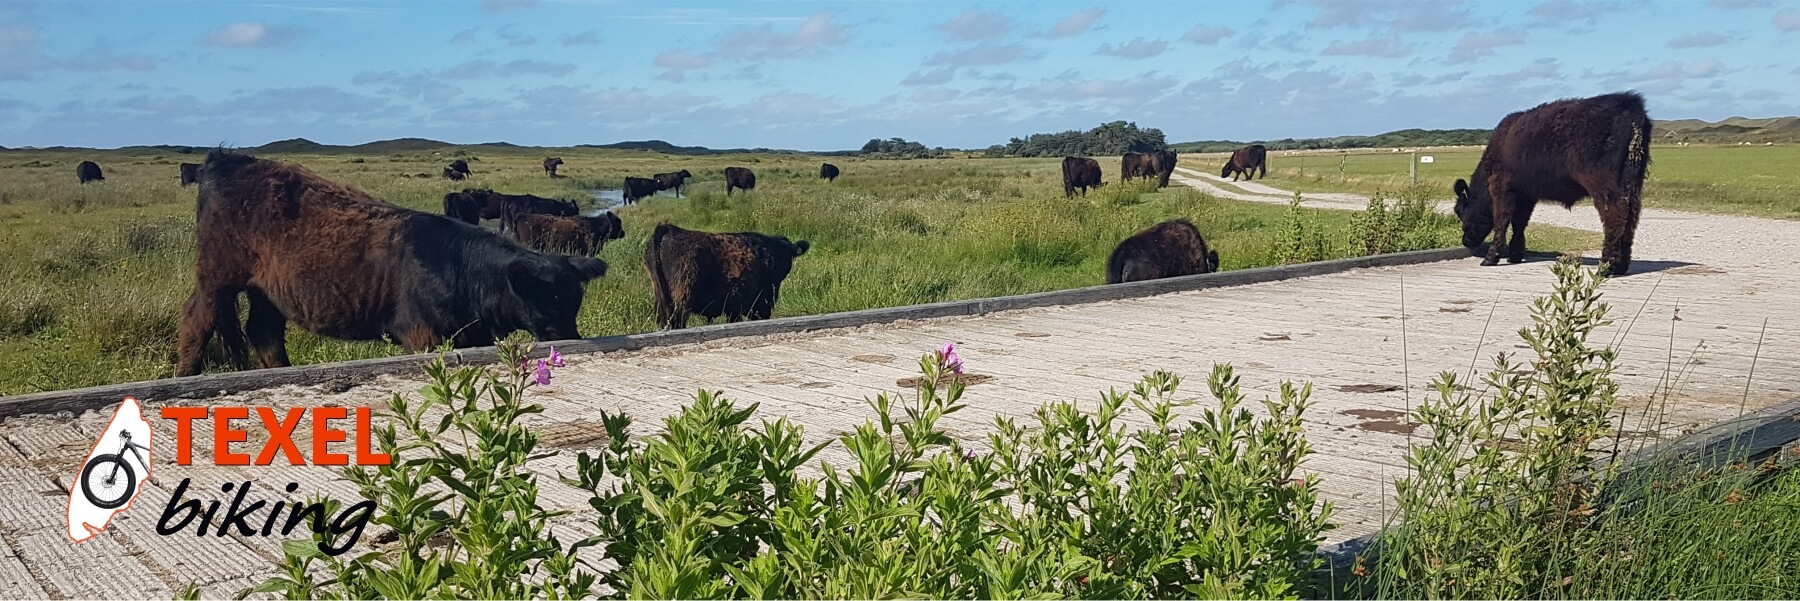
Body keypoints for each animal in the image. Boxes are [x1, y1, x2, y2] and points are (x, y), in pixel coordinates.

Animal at [176, 150, 612, 376]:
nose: (569, 339)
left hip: (266, 289)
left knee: (264, 332)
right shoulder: (420, 332)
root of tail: (224, 159)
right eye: (542, 301)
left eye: (573, 302)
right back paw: (186, 374)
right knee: (197, 318)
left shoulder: (471, 334)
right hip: (218, 274)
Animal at [1454, 90, 1648, 275]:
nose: (1466, 241)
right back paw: (1621, 266)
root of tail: (1629, 105)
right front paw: (1515, 255)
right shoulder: (1526, 194)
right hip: (1631, 185)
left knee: (1615, 217)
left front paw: (1491, 257)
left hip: (1605, 187)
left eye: (1461, 213)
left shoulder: (1501, 187)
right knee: (1631, 218)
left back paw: (1607, 266)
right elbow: (1519, 222)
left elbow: (1501, 220)